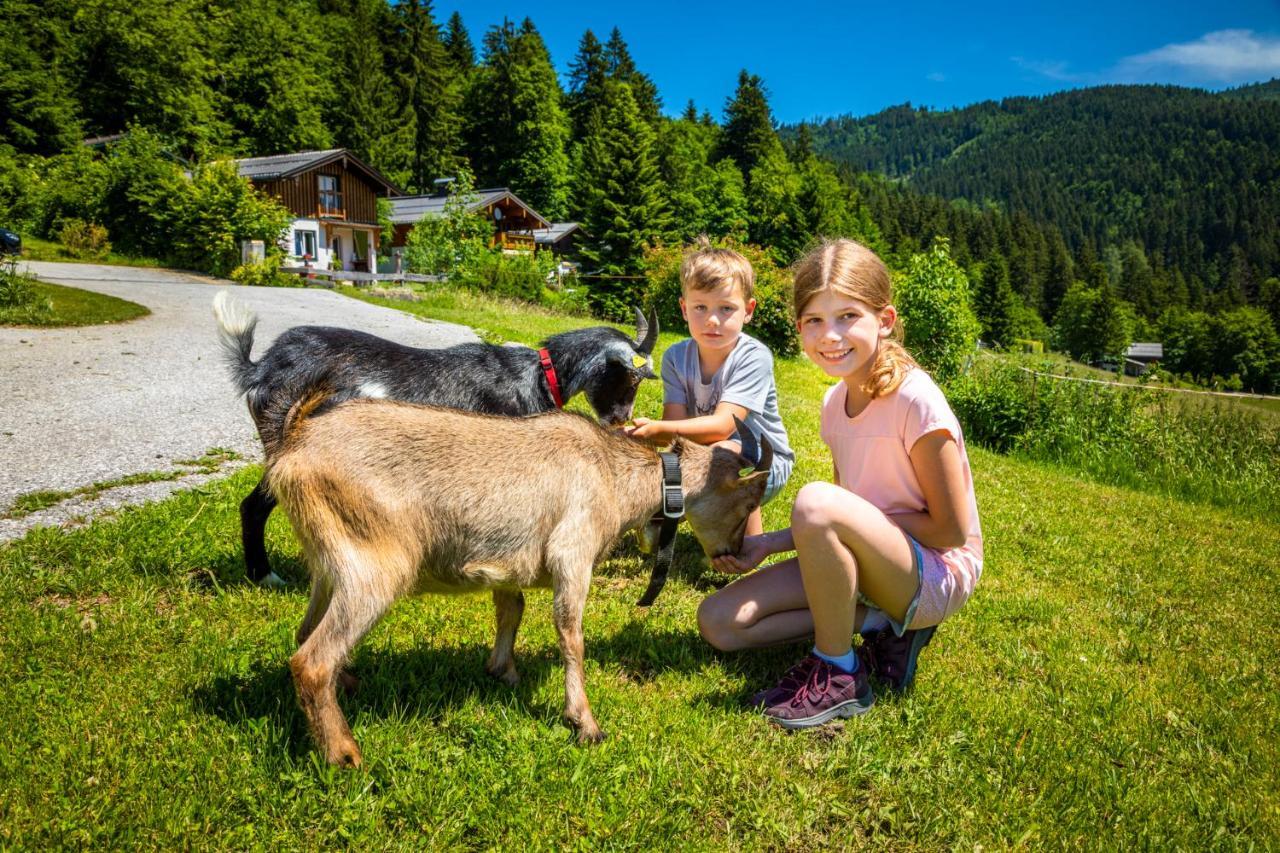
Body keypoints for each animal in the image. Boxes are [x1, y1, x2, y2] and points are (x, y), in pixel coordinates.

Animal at [212, 290, 660, 584]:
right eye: (631, 378)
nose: (621, 419)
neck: (537, 375)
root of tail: (262, 368)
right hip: (286, 445)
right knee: (254, 506)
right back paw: (265, 576)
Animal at [268, 394, 768, 758]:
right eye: (748, 502)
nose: (732, 554)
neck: (613, 475)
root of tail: (297, 447)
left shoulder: (509, 564)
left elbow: (513, 608)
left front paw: (503, 670)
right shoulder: (573, 554)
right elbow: (571, 635)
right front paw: (584, 723)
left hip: (330, 564)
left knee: (305, 631)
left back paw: (349, 684)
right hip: (374, 567)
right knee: (311, 661)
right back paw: (344, 754)